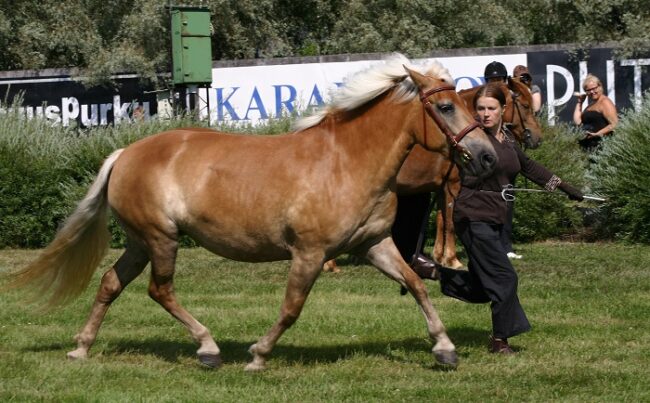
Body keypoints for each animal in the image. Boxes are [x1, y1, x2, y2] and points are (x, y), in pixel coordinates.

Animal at [7, 55, 496, 370]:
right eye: (446, 107)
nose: (488, 156)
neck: (347, 163)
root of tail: (125, 153)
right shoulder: (309, 254)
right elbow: (292, 308)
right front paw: (258, 355)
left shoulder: (374, 245)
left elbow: (416, 284)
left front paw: (445, 348)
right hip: (161, 239)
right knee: (159, 290)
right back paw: (207, 349)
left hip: (140, 242)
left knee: (111, 282)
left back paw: (81, 348)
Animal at [324, 76, 540, 272]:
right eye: (525, 105)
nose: (537, 138)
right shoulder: (453, 185)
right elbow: (450, 222)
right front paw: (452, 260)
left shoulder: (440, 187)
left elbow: (440, 220)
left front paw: (439, 256)